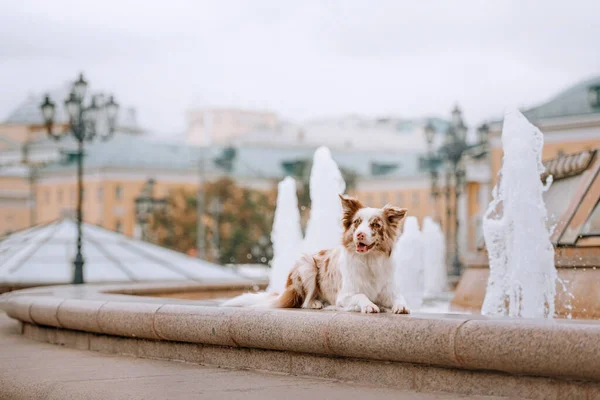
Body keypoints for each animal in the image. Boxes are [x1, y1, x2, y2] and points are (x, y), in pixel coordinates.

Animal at [223, 195, 410, 314]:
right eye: (357, 223)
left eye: (375, 224)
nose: (359, 235)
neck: (369, 261)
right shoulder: (345, 295)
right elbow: (361, 295)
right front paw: (369, 305)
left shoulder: (389, 291)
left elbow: (399, 298)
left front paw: (399, 306)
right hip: (307, 265)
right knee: (304, 303)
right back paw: (318, 303)